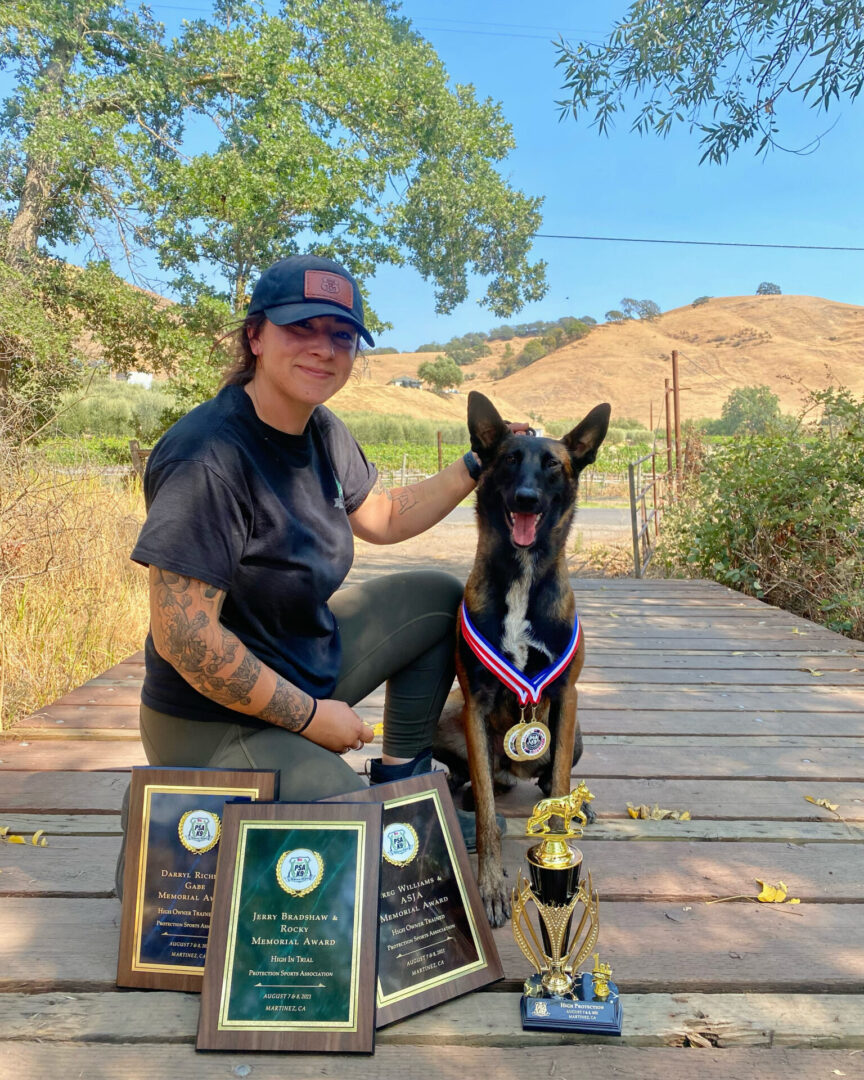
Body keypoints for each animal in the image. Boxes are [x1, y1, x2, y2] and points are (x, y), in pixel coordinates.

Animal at [432, 393, 609, 924]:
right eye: (510, 459)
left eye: (552, 464)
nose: (526, 498)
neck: (522, 575)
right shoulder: (474, 703)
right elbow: (488, 818)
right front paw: (490, 886)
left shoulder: (567, 696)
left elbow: (560, 785)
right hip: (451, 723)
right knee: (477, 782)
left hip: (576, 732)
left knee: (552, 778)